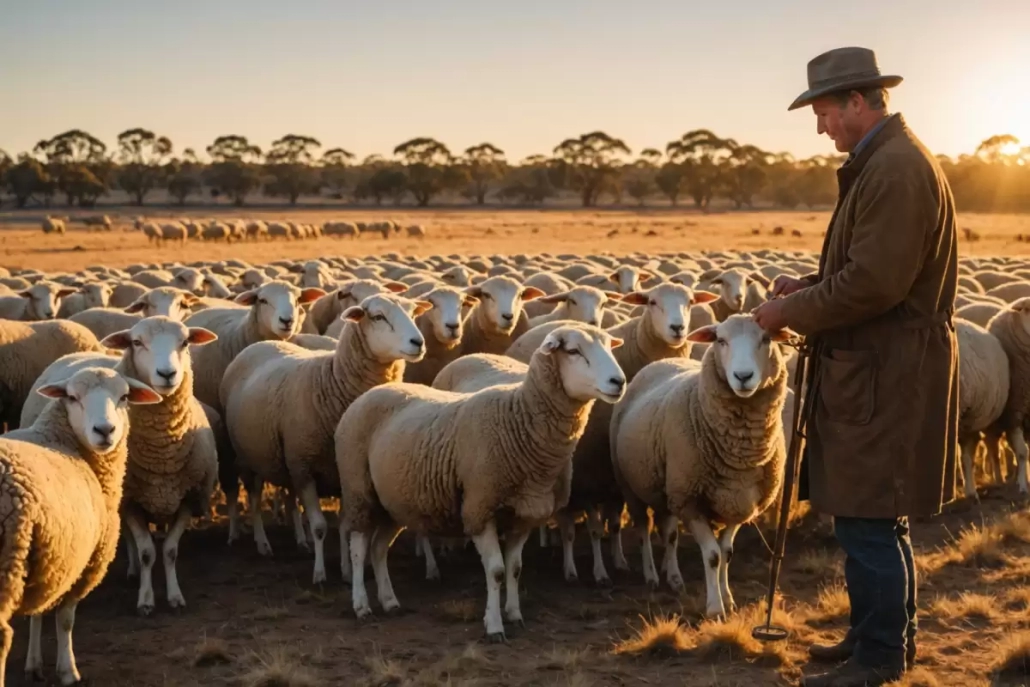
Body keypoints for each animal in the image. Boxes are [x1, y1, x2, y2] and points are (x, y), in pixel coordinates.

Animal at [0, 367, 161, 687]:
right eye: (73, 397)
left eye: (124, 397)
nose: (105, 430)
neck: (60, 439)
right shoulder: (84, 561)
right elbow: (65, 619)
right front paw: (68, 671)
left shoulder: (49, 559)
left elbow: (38, 612)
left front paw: (34, 665)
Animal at [221, 294, 430, 583]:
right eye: (378, 317)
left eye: (412, 312)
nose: (418, 343)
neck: (332, 381)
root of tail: (263, 342)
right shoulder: (305, 468)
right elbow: (320, 526)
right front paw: (320, 574)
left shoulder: (342, 473)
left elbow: (343, 525)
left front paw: (346, 570)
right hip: (250, 455)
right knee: (253, 496)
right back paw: (262, 543)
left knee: (289, 497)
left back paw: (300, 539)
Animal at [337, 323, 626, 638]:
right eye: (573, 351)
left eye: (609, 346)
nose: (619, 381)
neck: (517, 419)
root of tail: (371, 393)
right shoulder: (479, 507)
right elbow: (496, 571)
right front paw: (494, 625)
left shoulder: (523, 514)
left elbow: (515, 568)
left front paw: (514, 614)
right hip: (358, 490)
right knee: (358, 549)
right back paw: (361, 606)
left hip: (394, 501)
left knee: (378, 549)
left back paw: (390, 602)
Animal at [610, 316, 791, 616]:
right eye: (721, 340)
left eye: (766, 339)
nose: (743, 377)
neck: (739, 451)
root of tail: (663, 360)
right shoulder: (690, 501)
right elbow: (713, 555)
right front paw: (715, 608)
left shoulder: (740, 502)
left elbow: (726, 553)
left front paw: (728, 599)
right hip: (633, 486)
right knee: (644, 529)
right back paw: (651, 574)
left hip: (669, 487)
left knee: (669, 533)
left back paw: (672, 576)